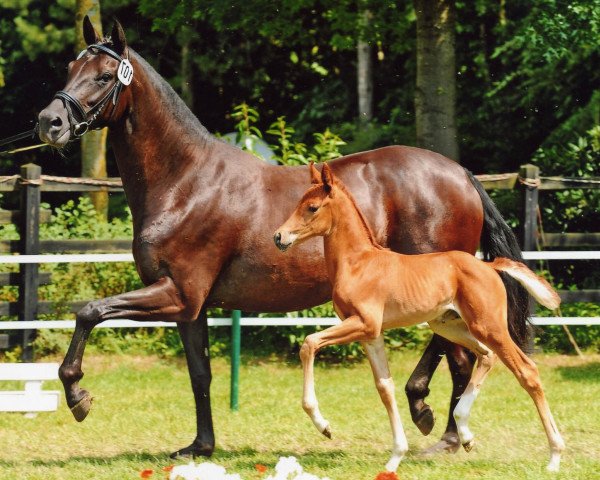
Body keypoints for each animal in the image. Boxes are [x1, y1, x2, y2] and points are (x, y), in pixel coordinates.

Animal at [274, 162, 564, 472]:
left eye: (312, 207)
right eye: (299, 202)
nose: (279, 237)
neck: (358, 263)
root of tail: (489, 265)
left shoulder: (363, 324)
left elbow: (309, 343)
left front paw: (324, 426)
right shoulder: (371, 334)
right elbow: (384, 387)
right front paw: (395, 458)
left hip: (489, 326)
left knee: (526, 370)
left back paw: (554, 456)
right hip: (450, 325)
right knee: (486, 356)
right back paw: (465, 435)